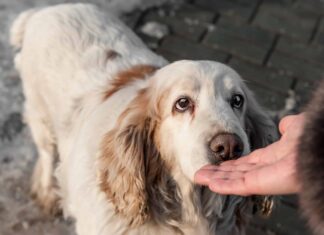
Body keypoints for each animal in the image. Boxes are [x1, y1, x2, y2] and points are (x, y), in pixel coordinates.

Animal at [11, 3, 278, 235]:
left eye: (237, 100)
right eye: (182, 103)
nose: (229, 146)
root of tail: (45, 10)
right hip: (41, 116)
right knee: (47, 155)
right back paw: (47, 193)